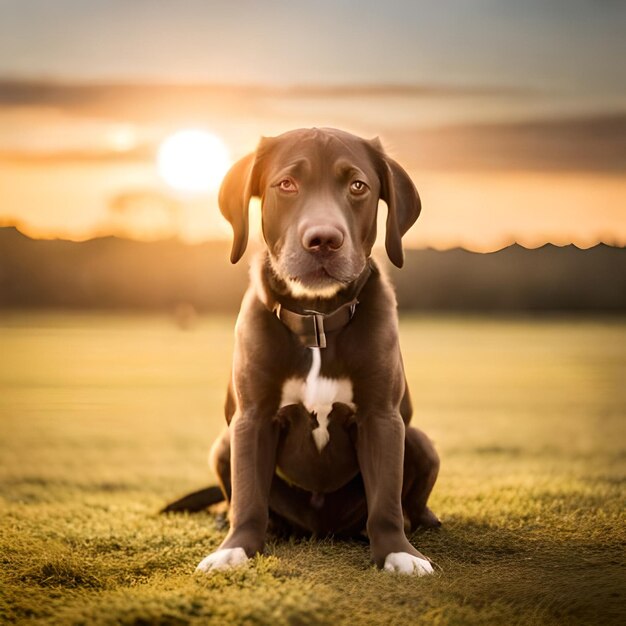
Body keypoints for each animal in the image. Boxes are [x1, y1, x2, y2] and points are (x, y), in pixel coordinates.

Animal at [167, 128, 438, 576]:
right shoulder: (252, 419)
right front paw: (233, 549)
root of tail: (318, 528)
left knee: (408, 498)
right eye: (287, 184)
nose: (323, 240)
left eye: (358, 186)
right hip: (222, 443)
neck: (317, 319)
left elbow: (385, 500)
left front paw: (399, 553)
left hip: (419, 441)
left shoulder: (382, 417)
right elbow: (249, 496)